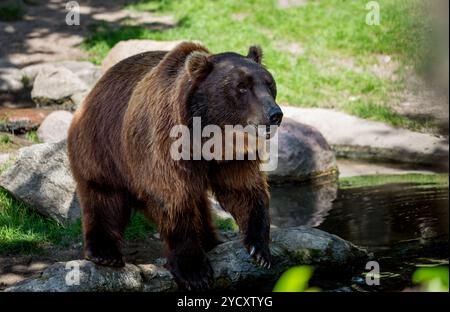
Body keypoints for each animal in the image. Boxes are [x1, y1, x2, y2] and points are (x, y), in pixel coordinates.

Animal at [67, 41, 284, 290]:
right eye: (242, 87)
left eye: (269, 83)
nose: (274, 114)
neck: (208, 138)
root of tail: (96, 86)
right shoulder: (167, 145)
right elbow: (174, 199)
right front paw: (195, 272)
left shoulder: (234, 155)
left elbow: (244, 190)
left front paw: (259, 249)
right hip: (103, 146)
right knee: (103, 197)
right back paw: (104, 253)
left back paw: (211, 241)